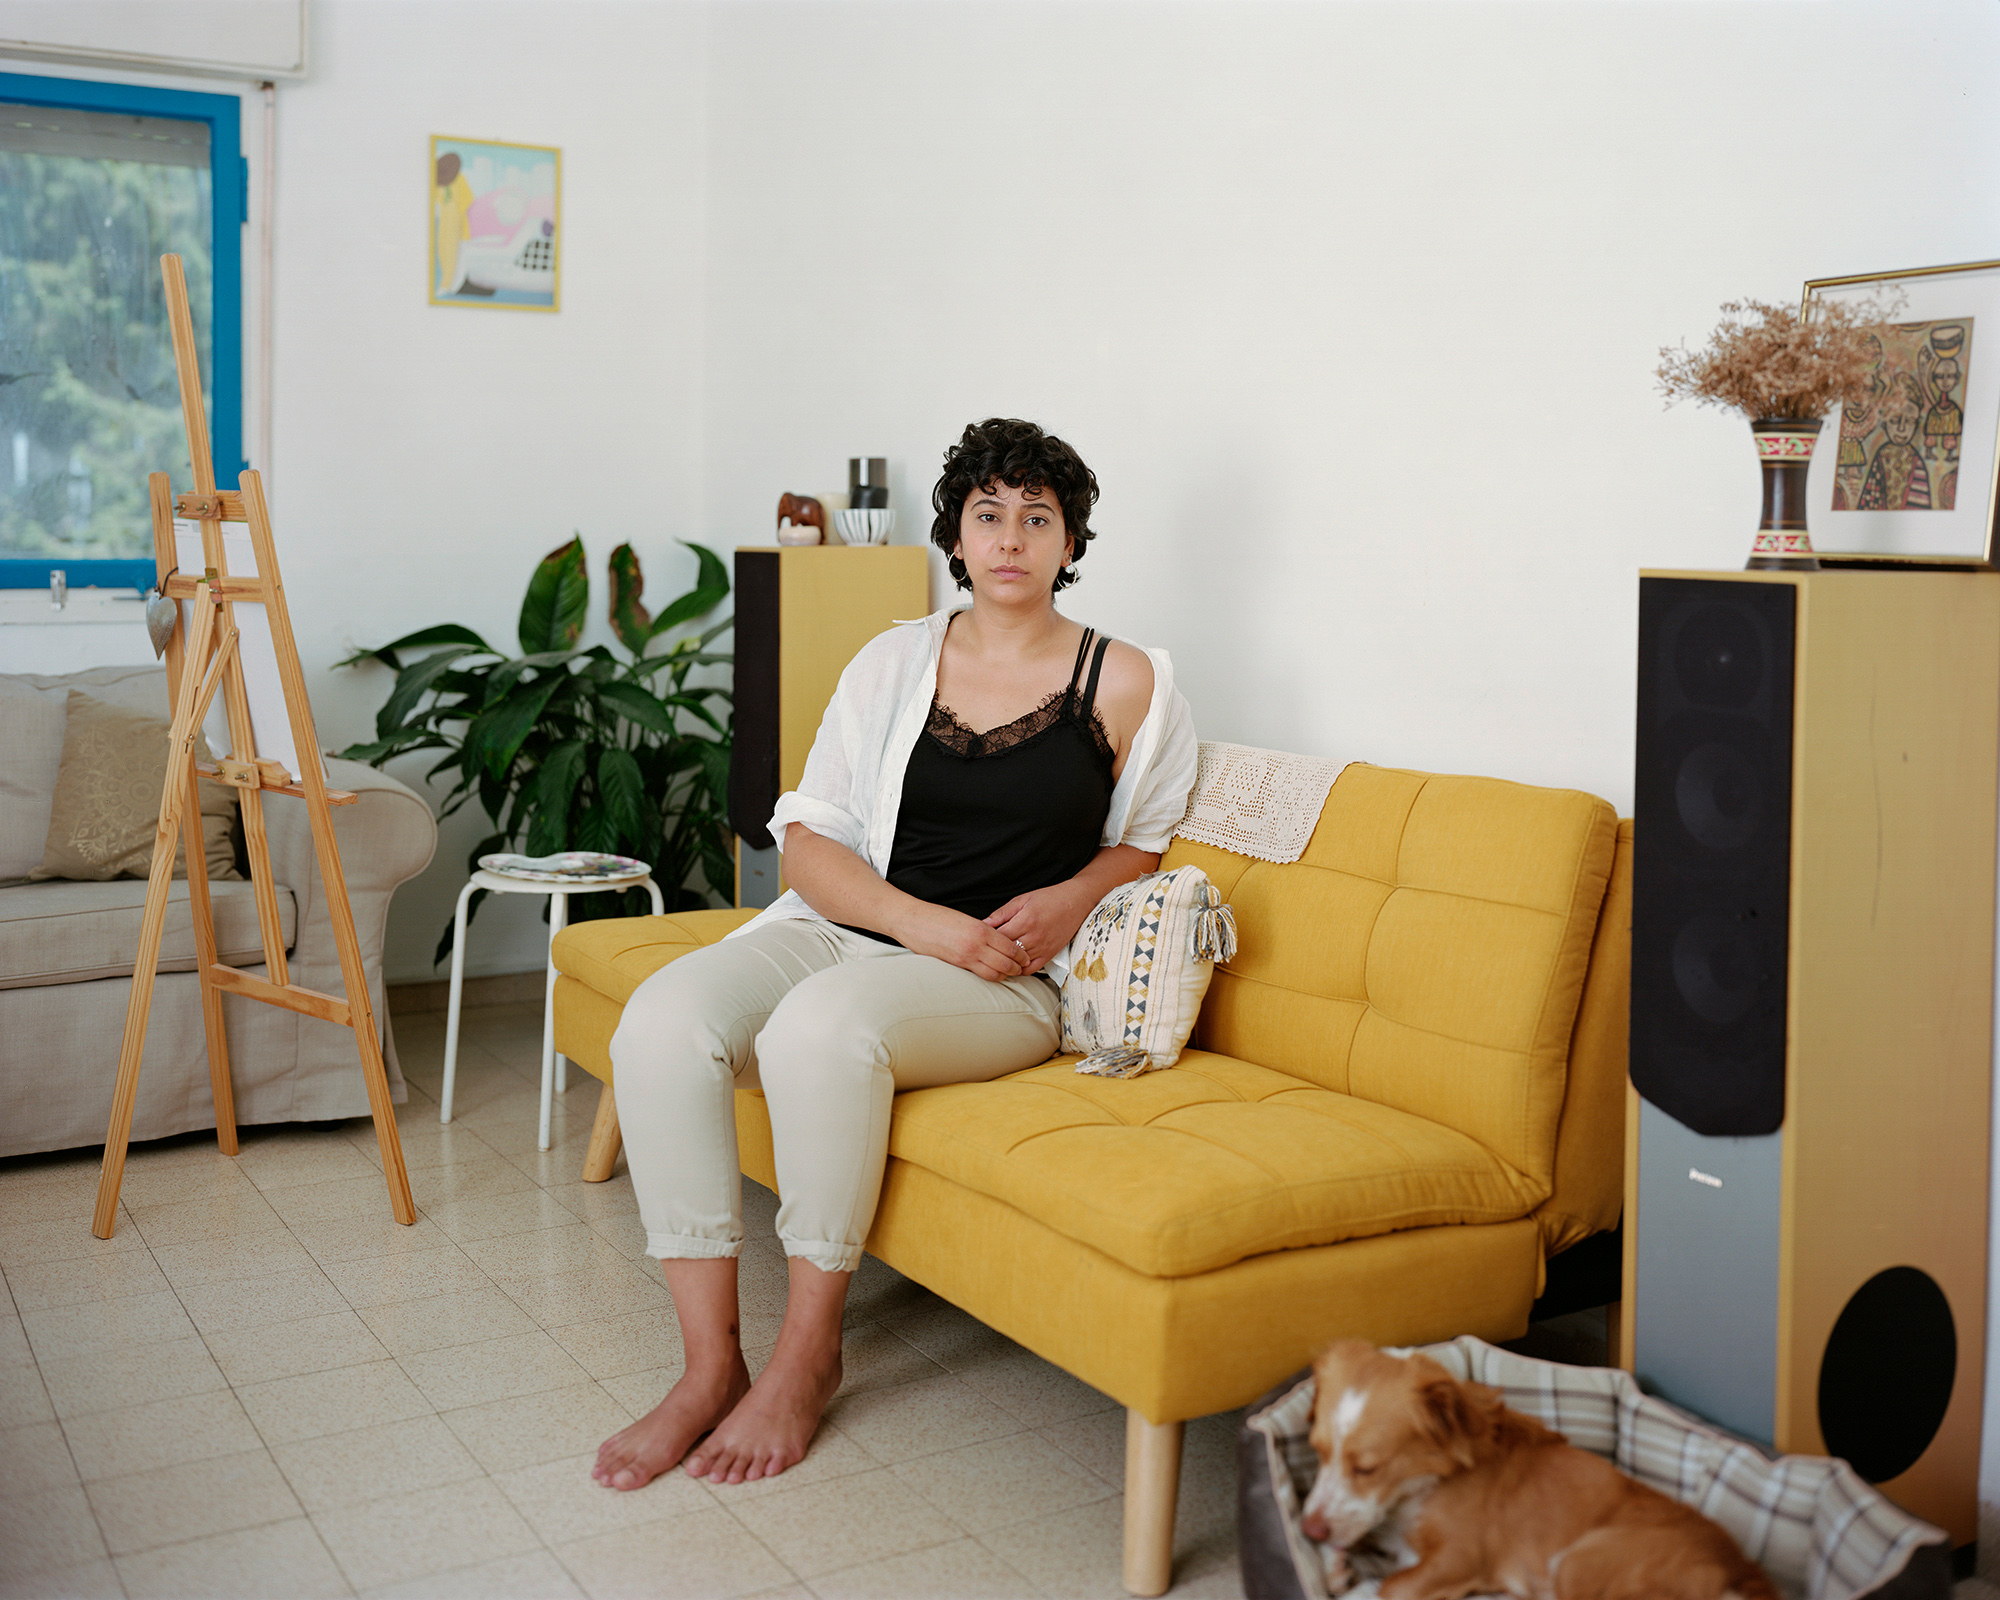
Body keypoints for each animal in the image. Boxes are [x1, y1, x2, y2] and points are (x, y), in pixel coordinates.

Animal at [1296, 1344, 1784, 1592]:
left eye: (1367, 1468)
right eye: (1317, 1451)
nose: (1307, 1529)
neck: (1418, 1490)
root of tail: (1742, 1568)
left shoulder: (1461, 1555)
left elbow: (1391, 1586)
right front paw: (1335, 1564)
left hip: (1581, 1564)